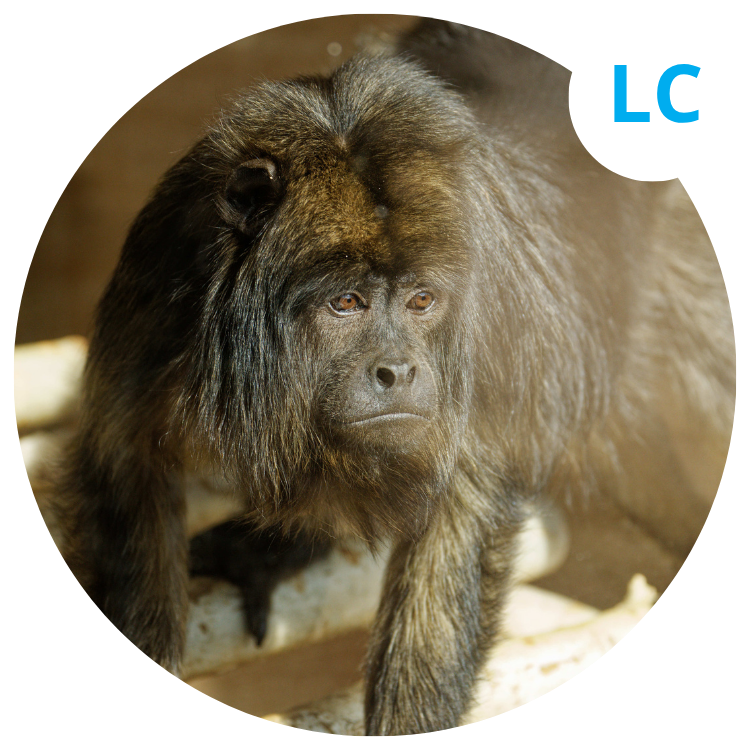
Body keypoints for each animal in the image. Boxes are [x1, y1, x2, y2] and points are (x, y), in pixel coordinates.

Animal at [55, 19, 735, 735]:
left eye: (422, 300)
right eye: (346, 302)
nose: (398, 369)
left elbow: (456, 522)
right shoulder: (161, 281)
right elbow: (128, 470)